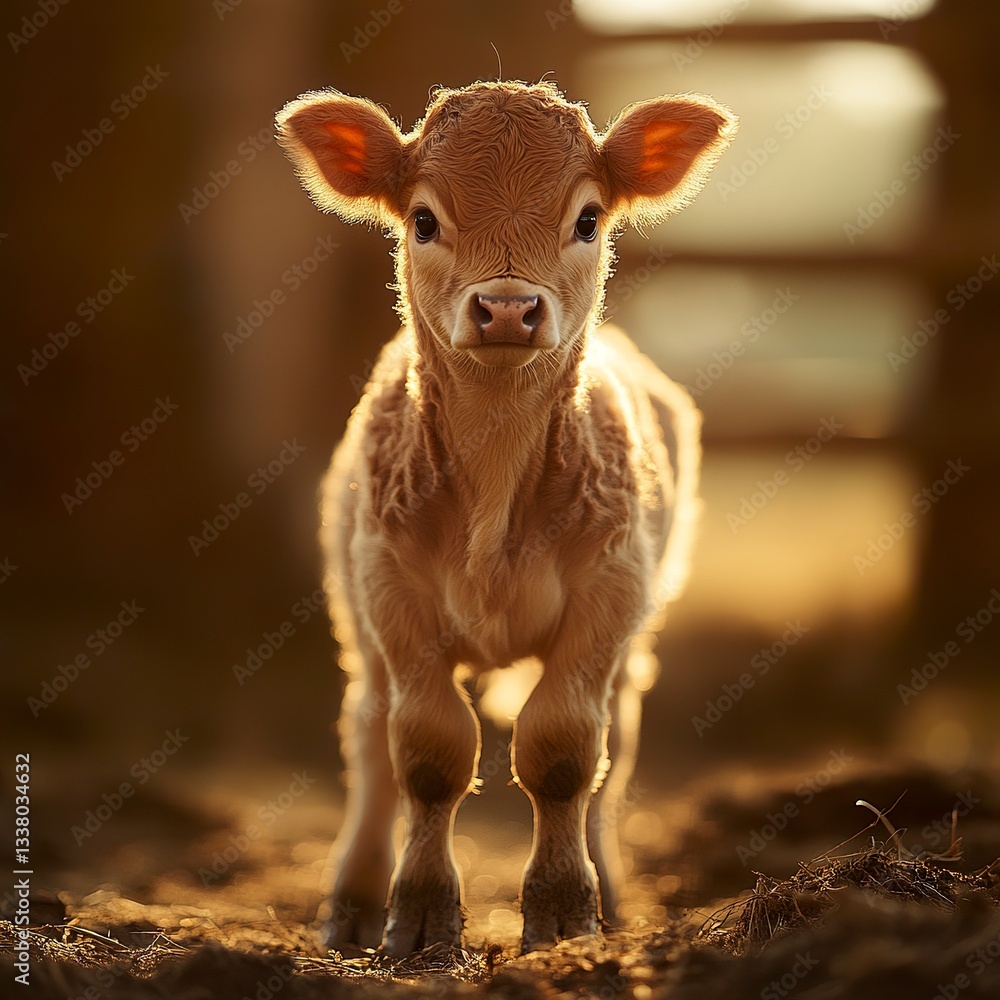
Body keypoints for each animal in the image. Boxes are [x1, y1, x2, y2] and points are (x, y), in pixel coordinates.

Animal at [275, 79, 737, 956]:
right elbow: (429, 753)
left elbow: (564, 750)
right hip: (358, 620)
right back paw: (352, 904)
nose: (507, 308)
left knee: (615, 745)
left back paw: (609, 891)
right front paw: (419, 916)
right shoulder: (393, 593)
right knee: (370, 738)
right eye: (424, 220)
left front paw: (563, 911)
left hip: (635, 637)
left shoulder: (611, 592)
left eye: (587, 218)